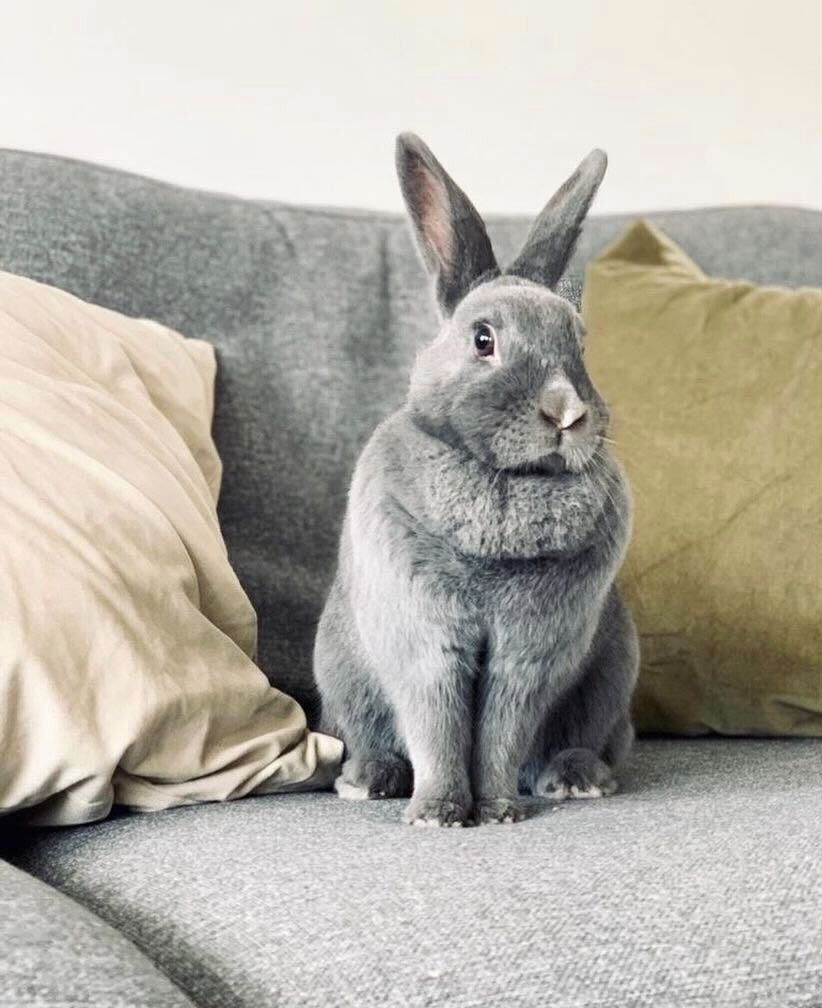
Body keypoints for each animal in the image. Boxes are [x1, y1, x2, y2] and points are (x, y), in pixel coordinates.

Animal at [312, 134, 641, 826]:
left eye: (579, 343)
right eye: (482, 339)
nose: (566, 413)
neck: (506, 481)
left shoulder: (529, 654)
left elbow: (500, 732)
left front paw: (495, 811)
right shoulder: (426, 642)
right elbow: (437, 725)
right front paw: (436, 814)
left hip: (612, 674)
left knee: (582, 741)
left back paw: (576, 779)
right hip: (340, 673)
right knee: (371, 736)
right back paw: (369, 779)